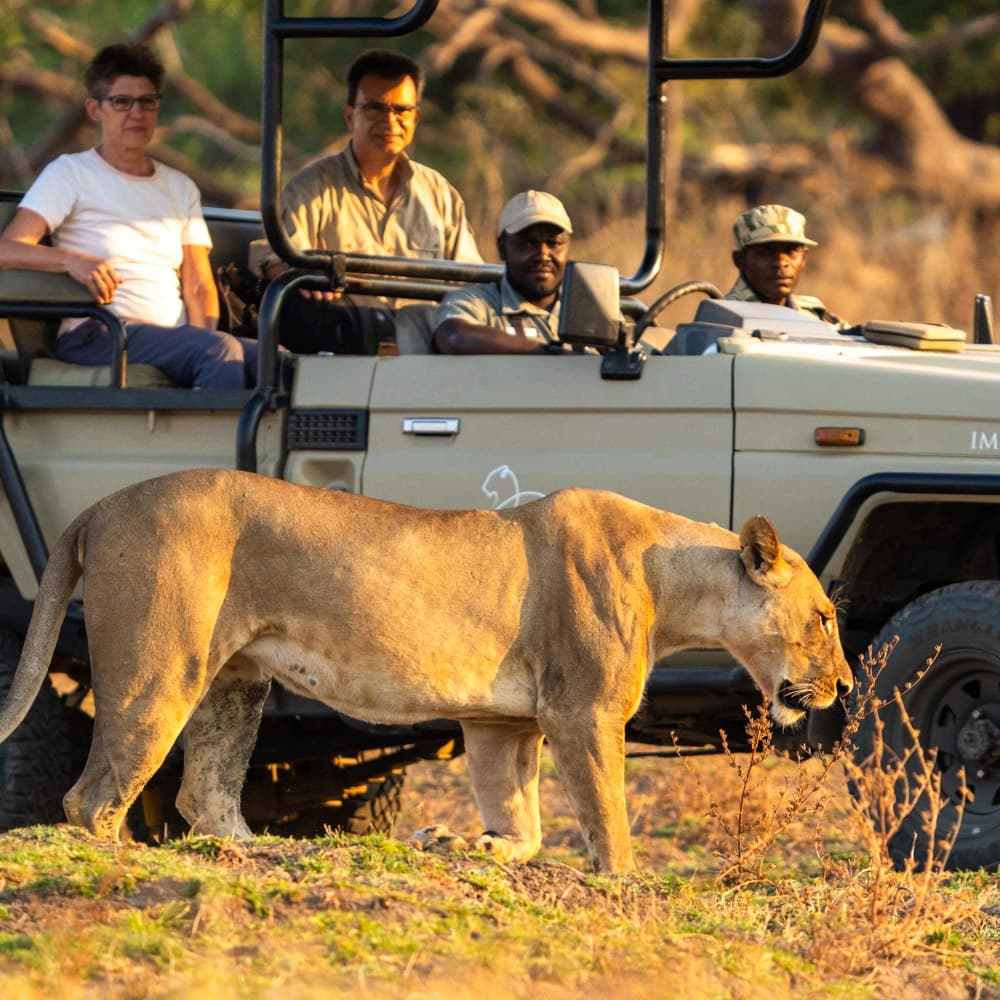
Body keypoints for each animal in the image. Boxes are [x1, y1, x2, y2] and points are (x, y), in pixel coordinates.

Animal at [0, 469, 852, 872]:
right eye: (826, 617)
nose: (846, 685)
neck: (674, 579)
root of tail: (100, 506)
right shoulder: (581, 712)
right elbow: (607, 819)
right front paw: (622, 883)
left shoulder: (501, 722)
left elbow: (524, 822)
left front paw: (464, 843)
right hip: (161, 668)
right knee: (92, 798)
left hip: (235, 678)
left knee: (203, 793)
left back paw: (262, 855)